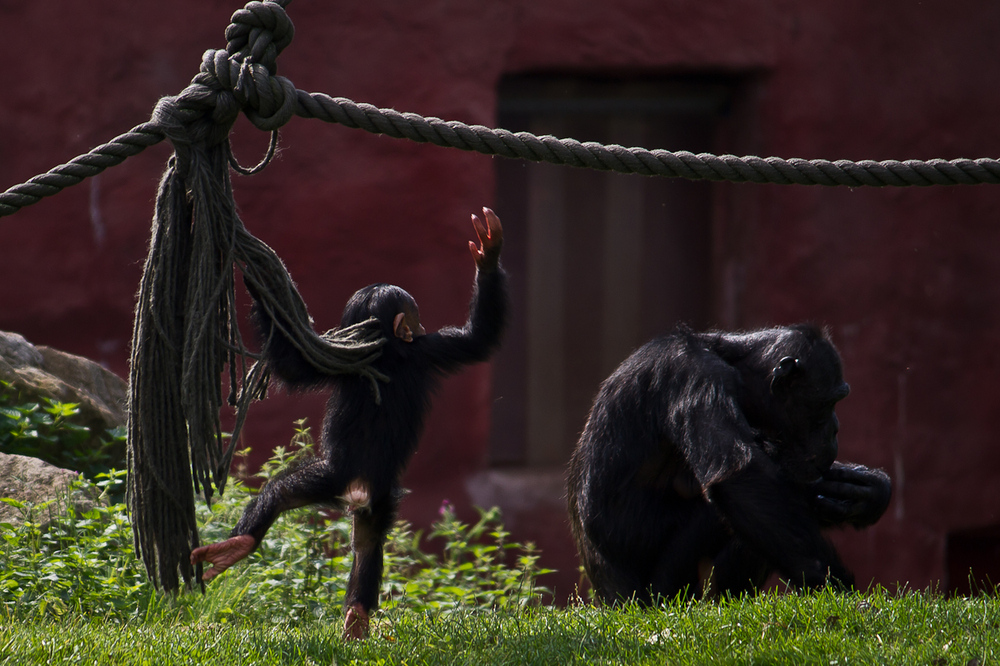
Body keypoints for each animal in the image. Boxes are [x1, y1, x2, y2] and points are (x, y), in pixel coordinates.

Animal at [192, 206, 508, 640]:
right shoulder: (428, 348)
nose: (420, 324)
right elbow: (478, 337)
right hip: (357, 486)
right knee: (335, 525)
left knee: (319, 517)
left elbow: (292, 366)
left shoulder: (413, 350)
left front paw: (488, 252)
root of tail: (357, 488)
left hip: (354, 486)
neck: (387, 348)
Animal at [572, 324, 892, 604]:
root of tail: (611, 598)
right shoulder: (697, 377)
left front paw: (866, 492)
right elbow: (740, 478)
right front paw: (835, 585)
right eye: (828, 403)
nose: (836, 427)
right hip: (658, 588)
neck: (736, 366)